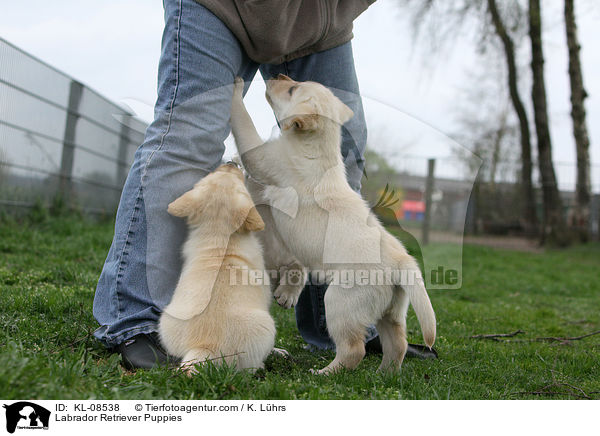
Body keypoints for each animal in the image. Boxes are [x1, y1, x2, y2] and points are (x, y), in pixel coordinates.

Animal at [157, 162, 274, 372]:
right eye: (239, 179)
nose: (231, 163)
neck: (218, 236)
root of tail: (204, 347)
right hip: (267, 328)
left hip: (165, 320)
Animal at [231, 76, 436, 374]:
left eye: (292, 89)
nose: (277, 76)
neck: (316, 147)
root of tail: (402, 262)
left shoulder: (261, 158)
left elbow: (243, 122)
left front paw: (235, 89)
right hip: (391, 310)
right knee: (397, 343)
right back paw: (383, 375)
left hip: (341, 302)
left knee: (353, 350)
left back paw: (324, 372)